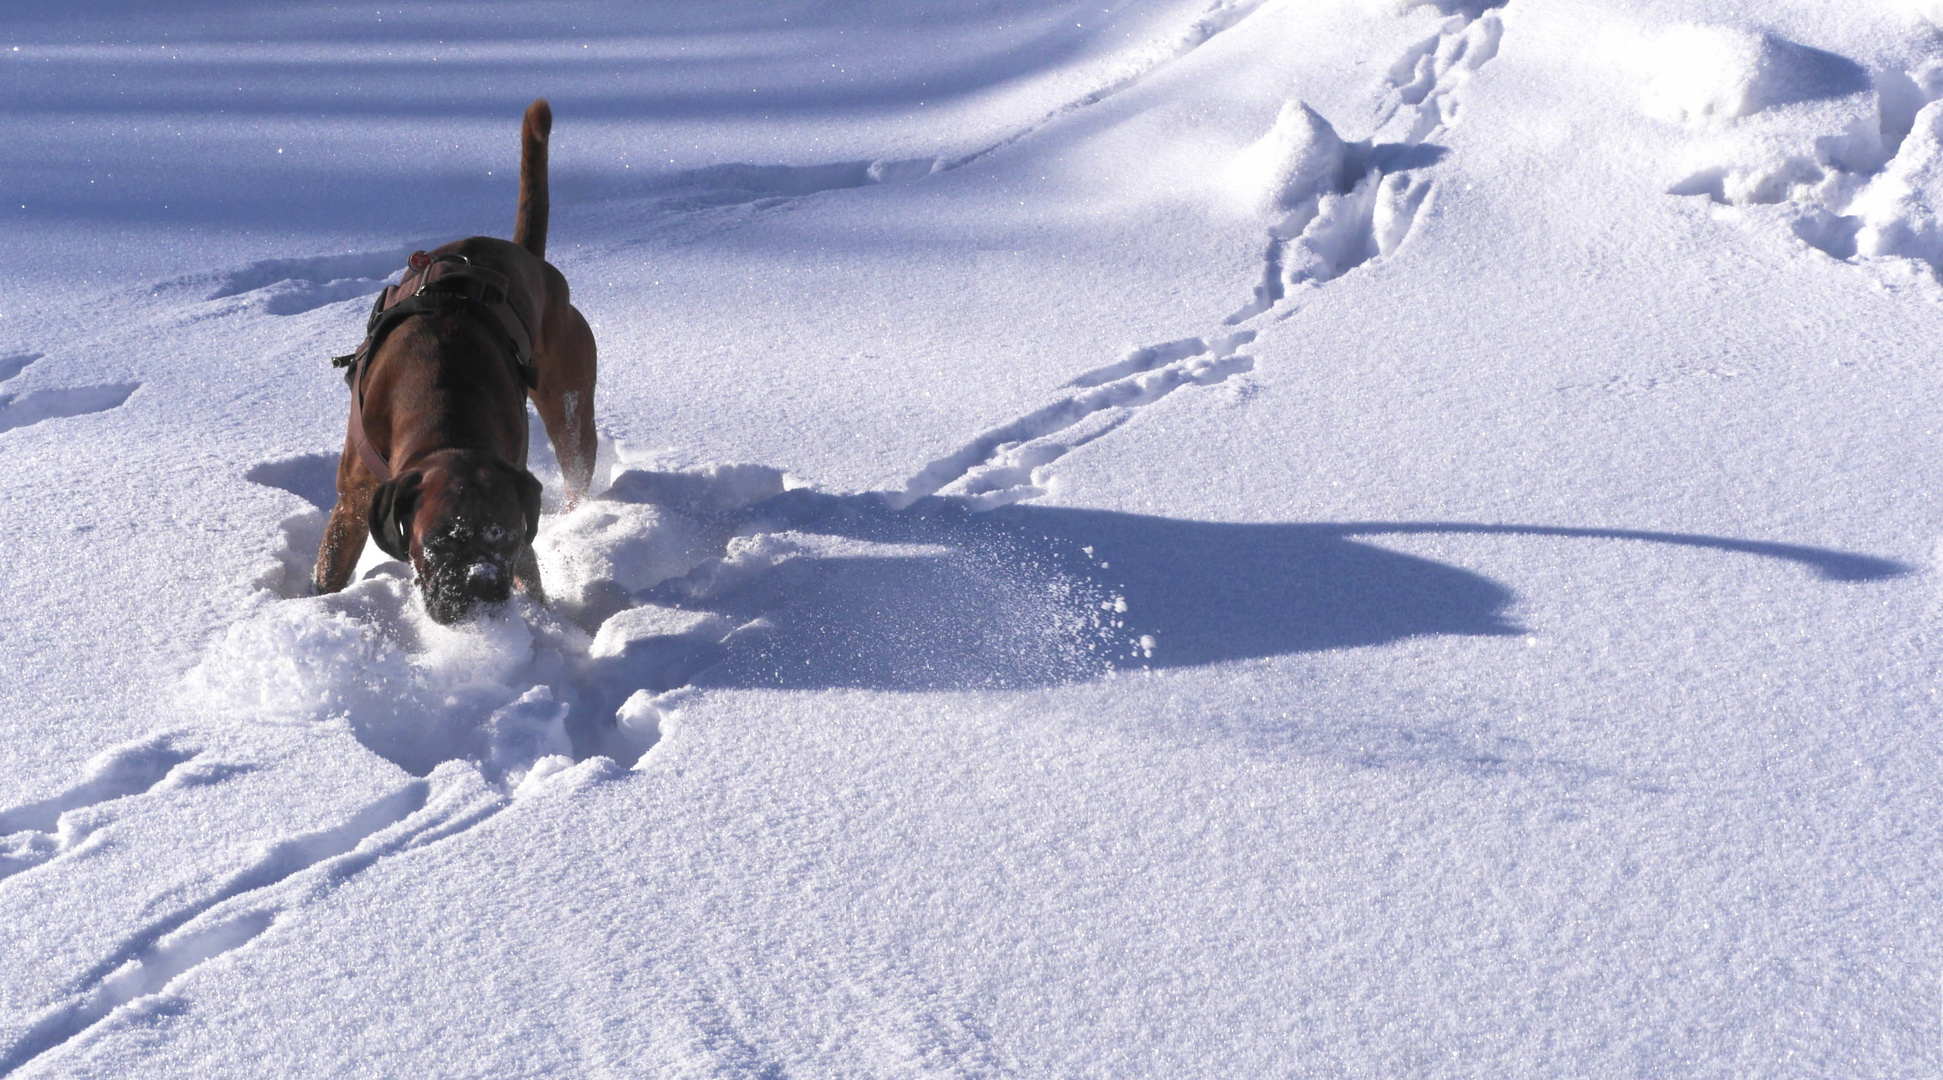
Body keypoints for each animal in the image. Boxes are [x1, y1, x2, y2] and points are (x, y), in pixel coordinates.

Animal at [310, 101, 594, 625]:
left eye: (504, 538)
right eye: (439, 542)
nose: (478, 587)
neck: (443, 411)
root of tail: (529, 257)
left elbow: (531, 575)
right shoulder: (353, 503)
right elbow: (328, 574)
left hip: (571, 416)